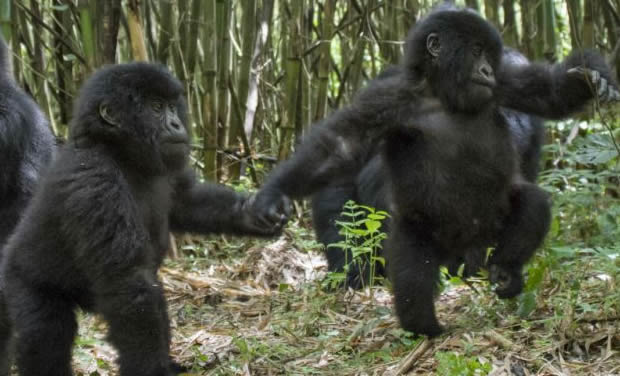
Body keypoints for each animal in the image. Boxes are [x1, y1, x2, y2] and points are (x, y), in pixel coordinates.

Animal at [0, 64, 286, 376]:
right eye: (156, 107)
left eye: (172, 106)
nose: (176, 124)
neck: (118, 151)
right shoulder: (95, 181)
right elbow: (128, 282)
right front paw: (152, 370)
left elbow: (188, 202)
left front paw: (252, 213)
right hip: (18, 279)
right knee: (46, 330)